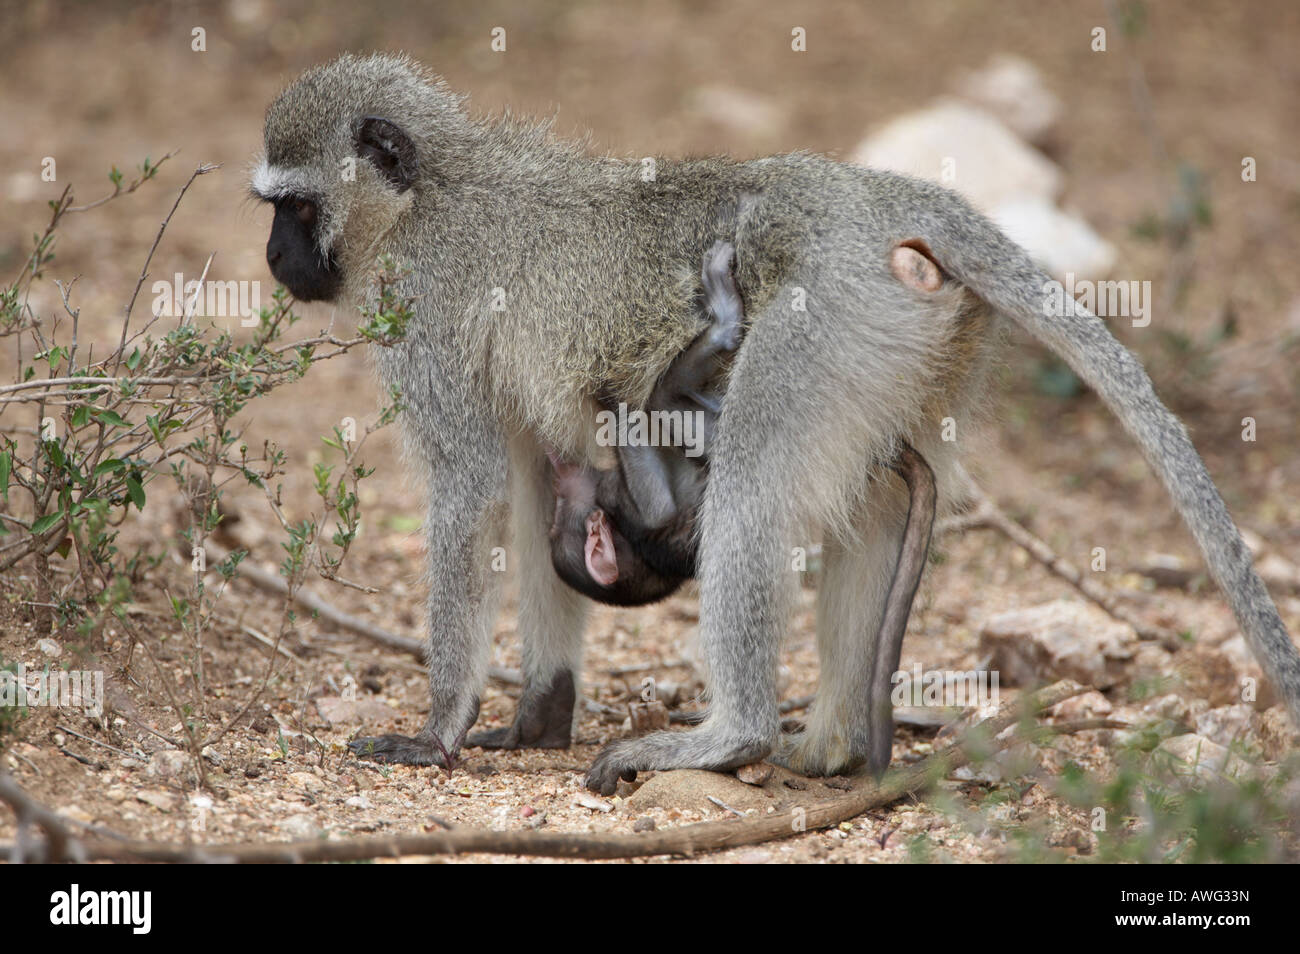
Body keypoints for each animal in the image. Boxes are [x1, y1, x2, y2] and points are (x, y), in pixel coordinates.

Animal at [252, 54, 1300, 794]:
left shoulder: (421, 311)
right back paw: (827, 746)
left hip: (821, 317)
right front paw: (538, 717)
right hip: (904, 344)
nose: (273, 260)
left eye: (294, 207)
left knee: (754, 488)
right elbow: (532, 481)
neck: (426, 193)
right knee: (876, 508)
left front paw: (439, 730)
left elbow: (471, 494)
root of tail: (874, 198)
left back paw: (732, 738)